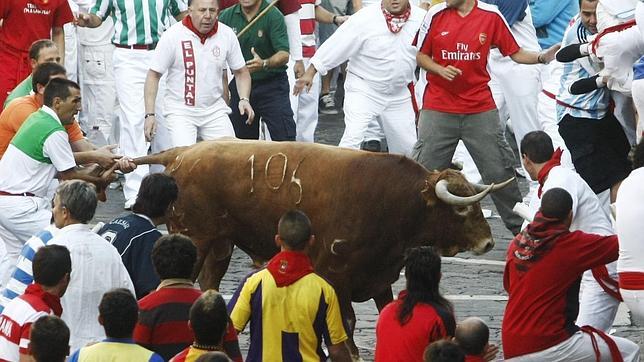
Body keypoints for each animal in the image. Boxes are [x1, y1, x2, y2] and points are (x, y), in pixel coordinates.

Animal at [136, 140, 508, 358]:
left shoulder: (380, 274)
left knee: (209, 283)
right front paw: (349, 351)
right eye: (462, 209)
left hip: (220, 244)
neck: (396, 199)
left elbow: (385, 308)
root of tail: (182, 153)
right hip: (195, 239)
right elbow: (345, 320)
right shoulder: (336, 274)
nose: (488, 242)